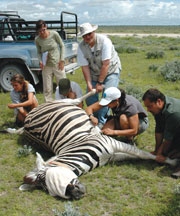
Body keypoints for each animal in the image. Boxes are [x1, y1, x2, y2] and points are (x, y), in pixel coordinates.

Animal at [16, 91, 178, 199]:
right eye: (46, 189)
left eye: (45, 178)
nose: (76, 194)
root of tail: (26, 122)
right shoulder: (114, 155)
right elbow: (139, 156)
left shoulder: (111, 142)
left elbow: (143, 154)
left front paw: (170, 161)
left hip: (60, 103)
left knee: (75, 100)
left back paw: (95, 90)